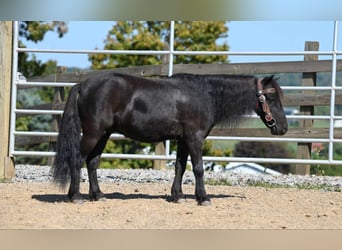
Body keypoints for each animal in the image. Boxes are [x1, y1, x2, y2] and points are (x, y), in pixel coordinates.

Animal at [52, 72, 288, 205]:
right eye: (271, 98)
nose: (283, 128)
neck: (205, 95)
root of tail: (83, 85)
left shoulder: (183, 140)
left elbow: (180, 167)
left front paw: (178, 196)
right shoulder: (194, 138)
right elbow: (198, 168)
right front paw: (203, 198)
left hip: (104, 134)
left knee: (92, 162)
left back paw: (98, 195)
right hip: (94, 133)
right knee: (77, 160)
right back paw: (75, 196)